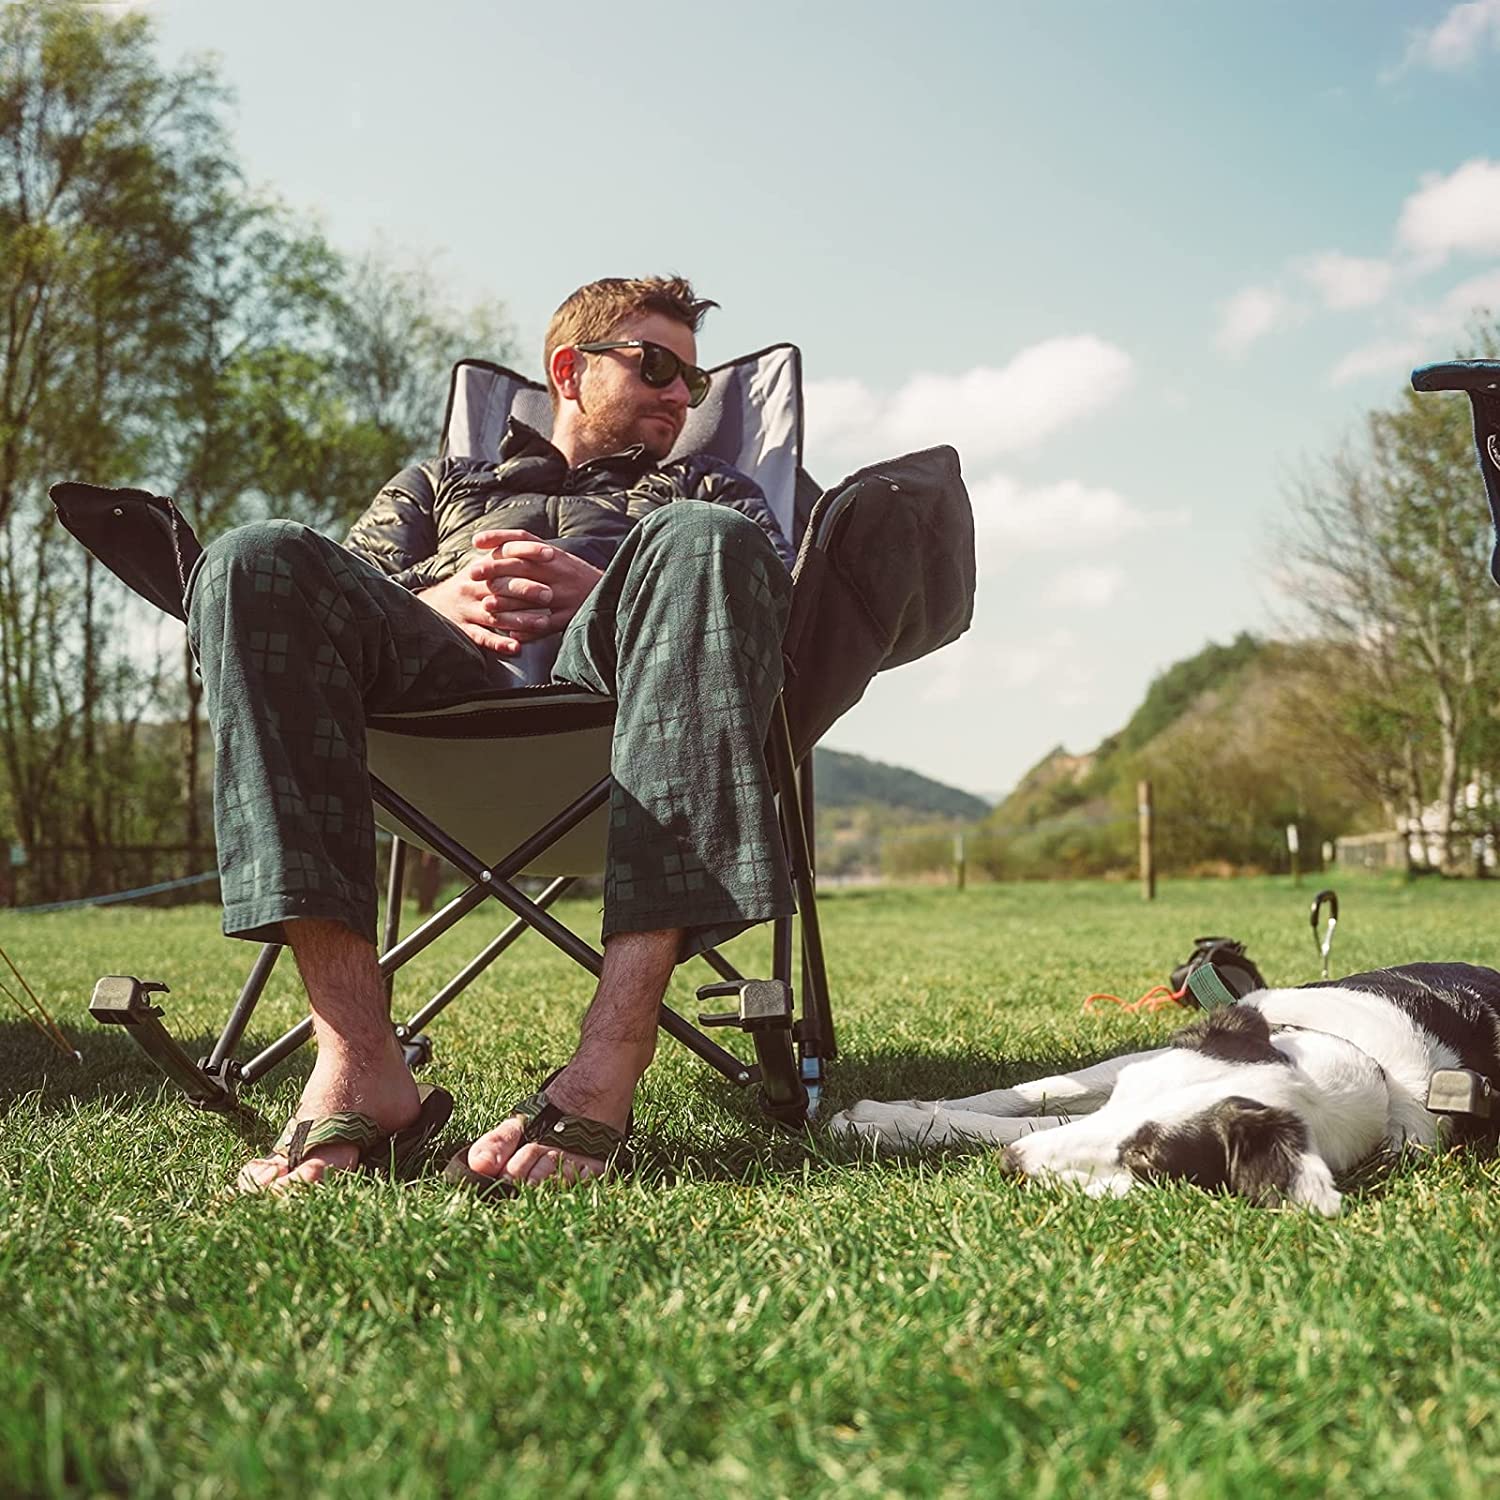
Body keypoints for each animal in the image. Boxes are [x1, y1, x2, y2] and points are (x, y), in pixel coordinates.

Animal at [834, 960, 1500, 1218]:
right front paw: (888, 1116)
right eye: (1127, 1091)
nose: (1011, 1167)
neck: (1377, 1074)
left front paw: (880, 1124)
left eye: (1148, 1162)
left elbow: (1040, 1124)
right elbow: (1026, 1095)